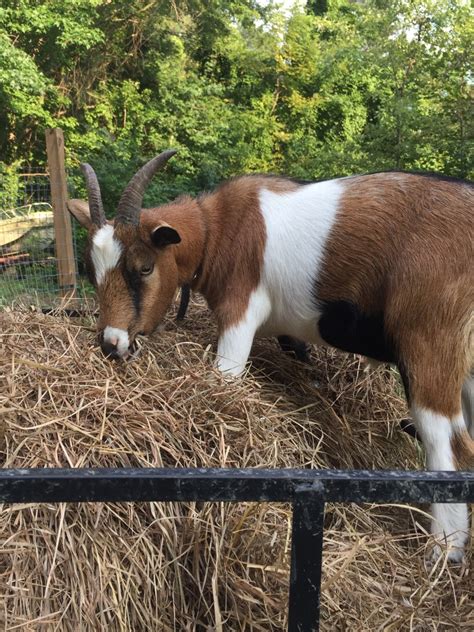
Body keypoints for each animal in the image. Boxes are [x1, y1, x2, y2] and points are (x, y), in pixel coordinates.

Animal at [69, 151, 474, 560]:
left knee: (449, 443)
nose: (112, 342)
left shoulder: (240, 311)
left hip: (429, 341)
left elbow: (227, 378)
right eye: (92, 272)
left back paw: (444, 552)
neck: (219, 227)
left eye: (145, 267)